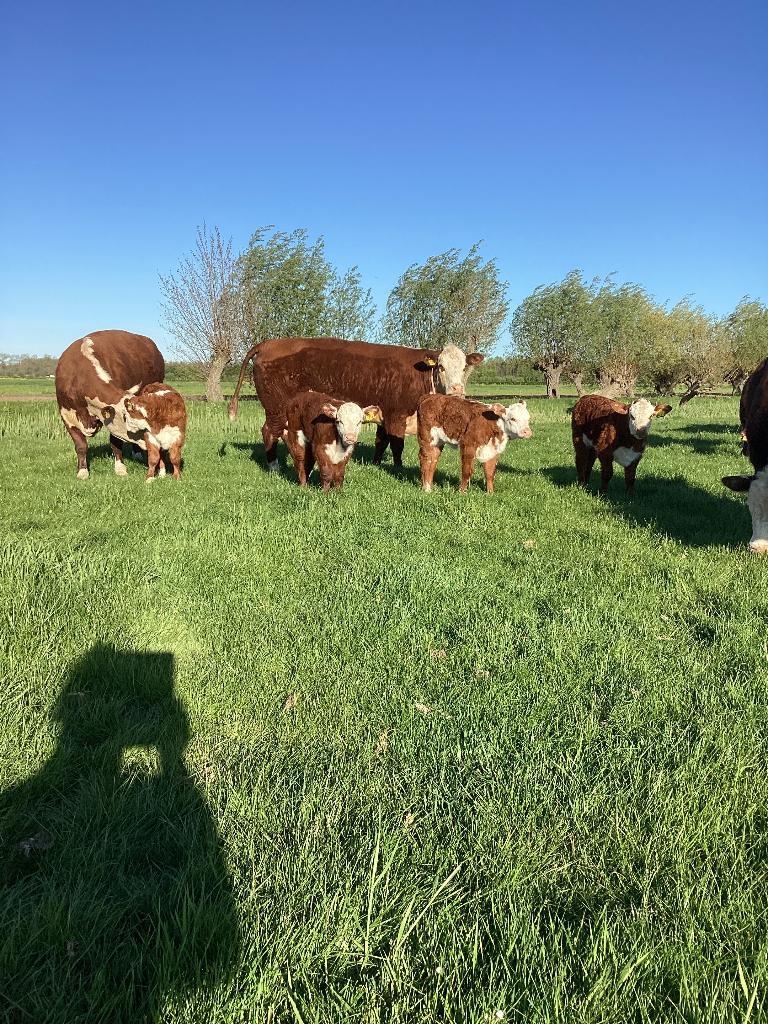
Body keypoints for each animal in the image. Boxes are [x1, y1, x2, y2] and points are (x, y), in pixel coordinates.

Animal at [55, 330, 165, 478]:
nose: (158, 443)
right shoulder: (67, 415)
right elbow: (81, 445)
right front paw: (82, 471)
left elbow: (116, 444)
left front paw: (120, 468)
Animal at [227, 337, 484, 470]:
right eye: (441, 366)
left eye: (464, 367)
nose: (457, 390)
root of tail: (268, 343)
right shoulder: (397, 414)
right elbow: (397, 444)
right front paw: (398, 469)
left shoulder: (383, 414)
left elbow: (381, 442)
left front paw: (376, 463)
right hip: (276, 407)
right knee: (269, 431)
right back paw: (274, 466)